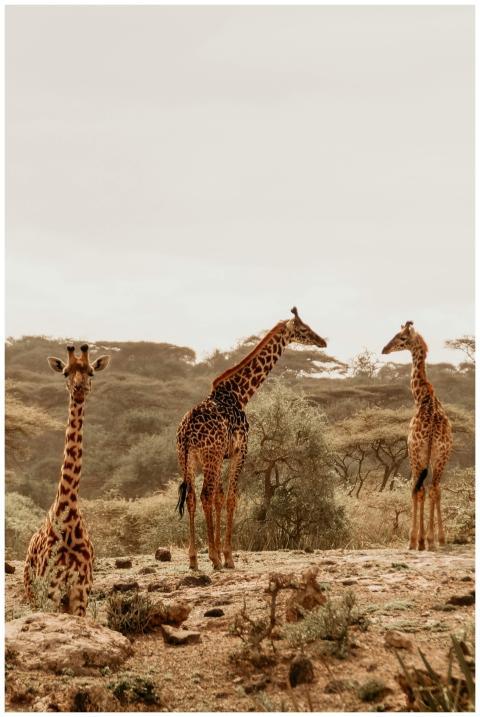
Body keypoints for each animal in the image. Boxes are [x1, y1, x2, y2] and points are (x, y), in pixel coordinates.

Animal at [24, 344, 111, 616]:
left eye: (91, 372)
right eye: (65, 373)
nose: (79, 388)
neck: (69, 512)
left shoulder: (80, 590)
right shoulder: (50, 590)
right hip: (33, 593)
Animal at [176, 307, 327, 571]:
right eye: (304, 329)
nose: (322, 341)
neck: (240, 394)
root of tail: (185, 431)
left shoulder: (224, 455)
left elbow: (219, 498)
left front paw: (219, 553)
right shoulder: (241, 450)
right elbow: (231, 498)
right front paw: (227, 557)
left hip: (187, 458)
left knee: (193, 497)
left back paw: (193, 559)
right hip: (209, 455)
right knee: (204, 495)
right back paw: (212, 558)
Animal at [382, 322, 453, 551]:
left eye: (401, 338)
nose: (384, 349)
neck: (422, 397)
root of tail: (431, 431)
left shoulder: (412, 450)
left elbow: (415, 491)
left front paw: (415, 540)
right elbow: (429, 490)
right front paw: (429, 538)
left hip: (417, 454)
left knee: (419, 489)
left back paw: (420, 540)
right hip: (441, 454)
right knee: (435, 488)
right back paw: (437, 538)